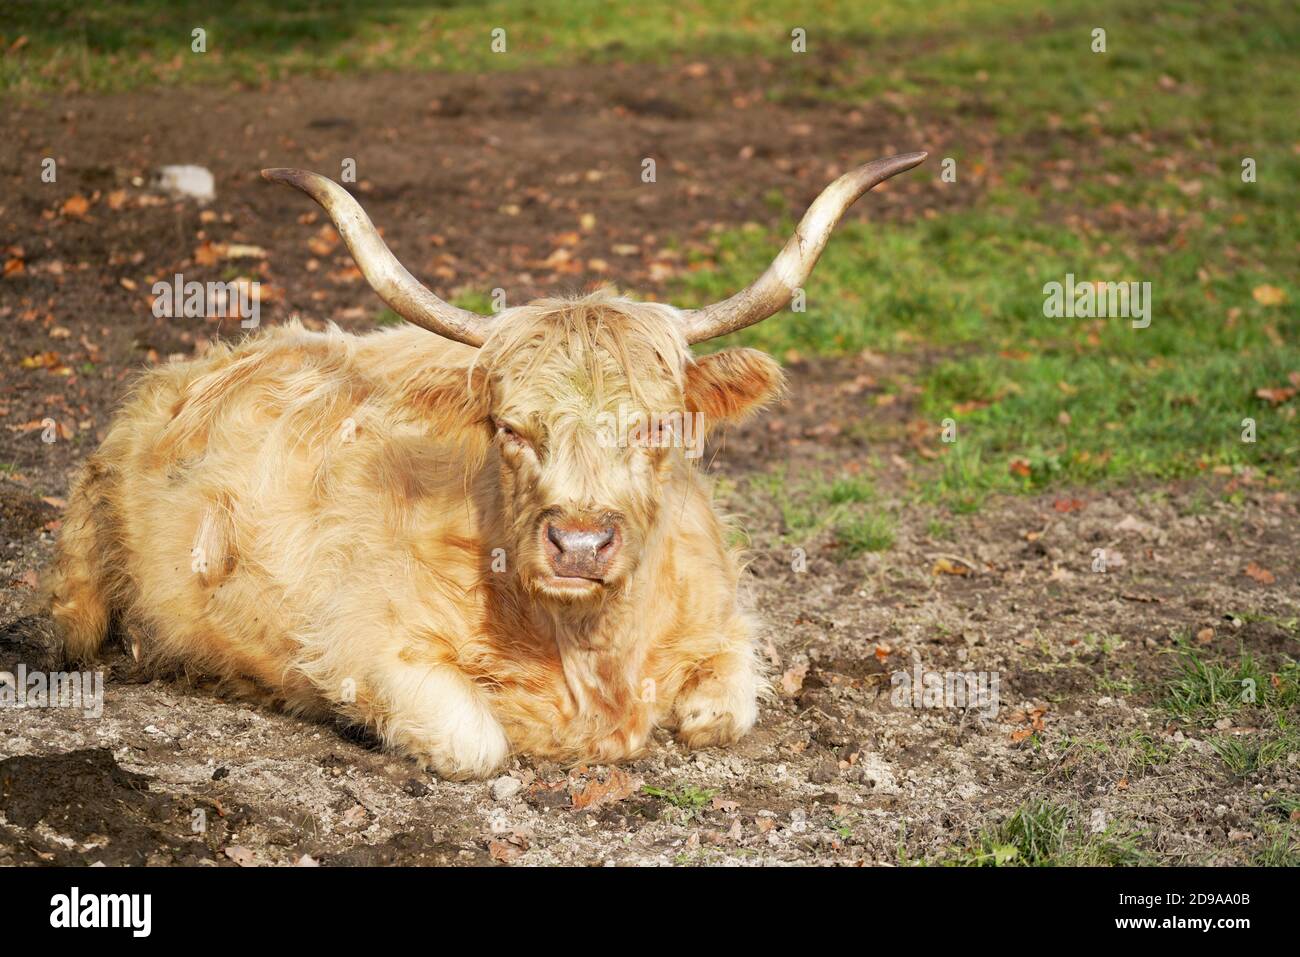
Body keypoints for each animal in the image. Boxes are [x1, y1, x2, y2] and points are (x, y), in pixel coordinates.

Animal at [44, 152, 926, 779]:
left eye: (657, 426)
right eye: (511, 427)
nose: (579, 544)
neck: (586, 651)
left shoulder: (724, 627)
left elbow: (722, 715)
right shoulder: (361, 644)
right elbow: (478, 740)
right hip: (80, 592)